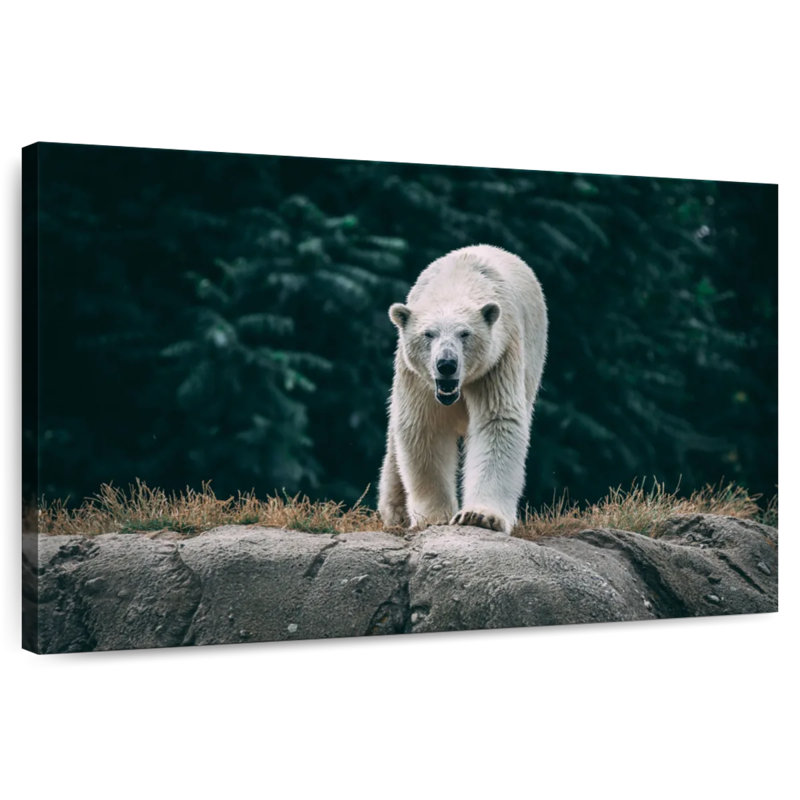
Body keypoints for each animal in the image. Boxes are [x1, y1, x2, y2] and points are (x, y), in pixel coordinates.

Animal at [378, 244, 548, 534]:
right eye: (428, 334)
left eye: (465, 334)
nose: (446, 364)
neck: (457, 281)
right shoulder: (417, 377)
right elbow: (424, 427)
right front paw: (434, 516)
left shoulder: (498, 361)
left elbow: (497, 422)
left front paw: (480, 516)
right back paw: (395, 512)